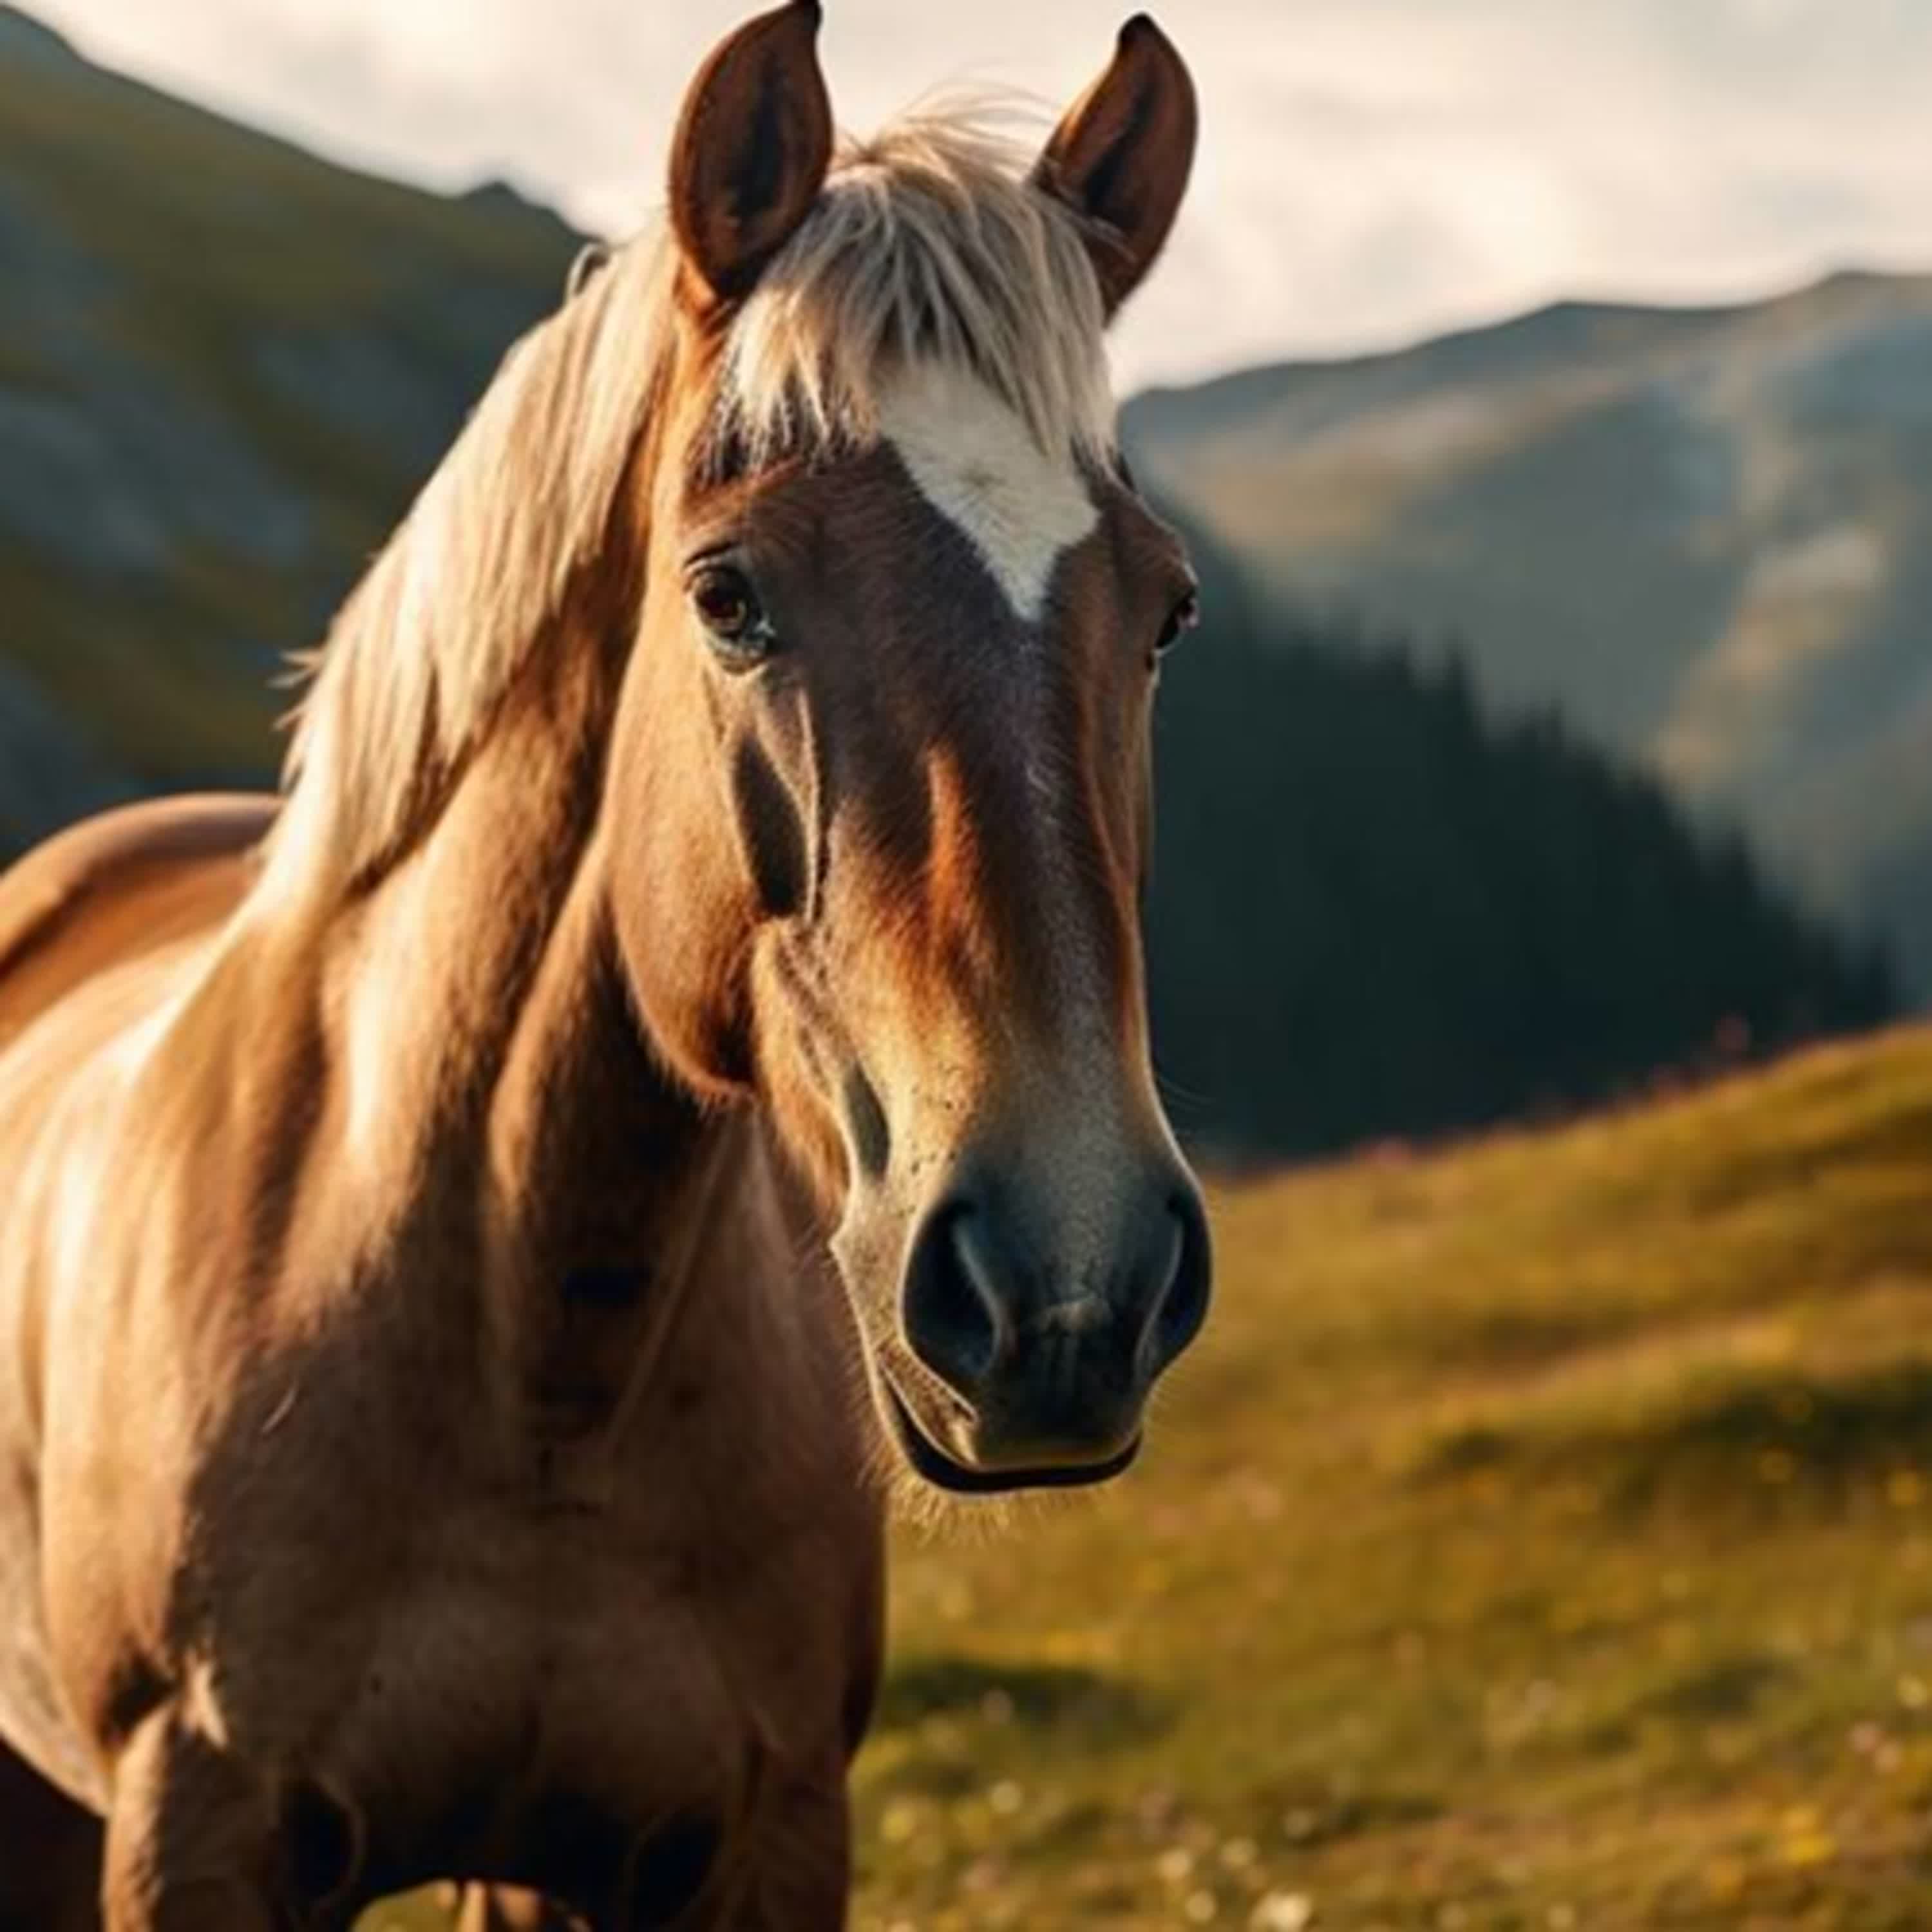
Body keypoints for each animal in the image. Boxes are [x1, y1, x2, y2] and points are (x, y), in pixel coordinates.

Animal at [0, 7, 1206, 1924]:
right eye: (727, 596)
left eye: (1164, 609)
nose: (1066, 1282)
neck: (527, 1358)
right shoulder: (197, 1831)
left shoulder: (757, 1833)